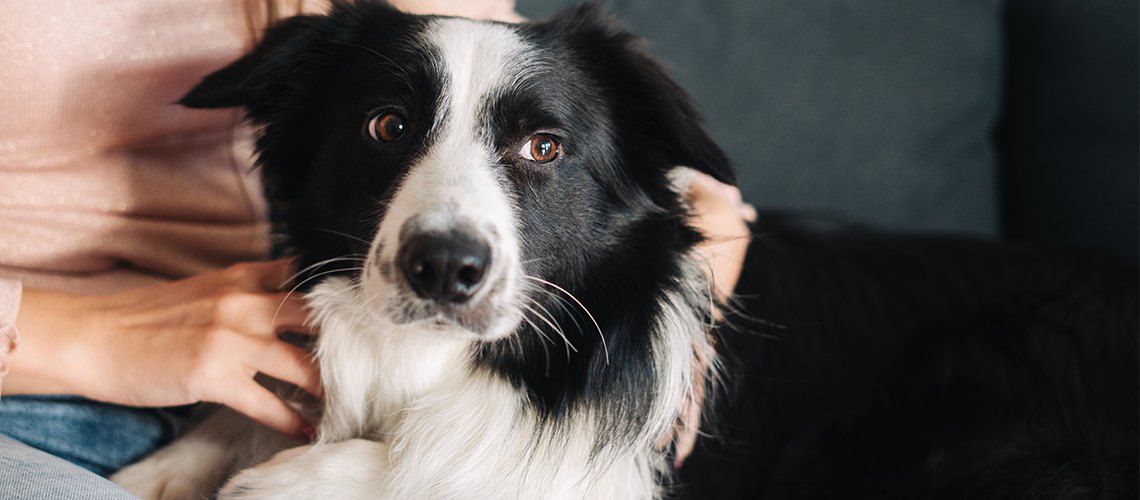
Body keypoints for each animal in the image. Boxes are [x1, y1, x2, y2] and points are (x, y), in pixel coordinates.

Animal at [111, 1, 1135, 498]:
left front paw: (289, 478)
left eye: (543, 147)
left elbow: (458, 462)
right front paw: (173, 465)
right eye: (387, 125)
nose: (444, 268)